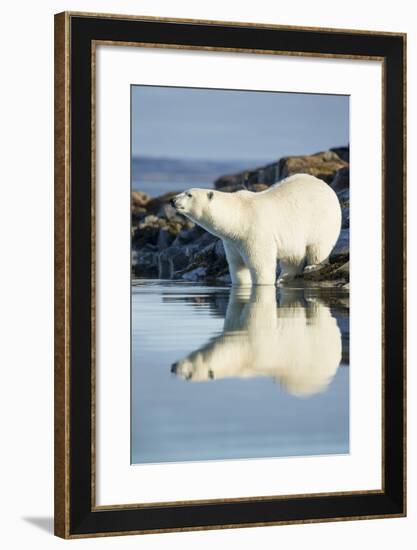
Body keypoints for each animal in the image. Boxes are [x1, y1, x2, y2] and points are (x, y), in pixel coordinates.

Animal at [170, 176, 342, 286]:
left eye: (189, 194)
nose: (172, 200)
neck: (238, 217)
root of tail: (327, 187)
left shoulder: (255, 232)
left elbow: (261, 265)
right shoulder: (232, 242)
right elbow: (237, 266)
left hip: (321, 219)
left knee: (319, 246)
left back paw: (312, 266)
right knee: (293, 256)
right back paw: (285, 277)